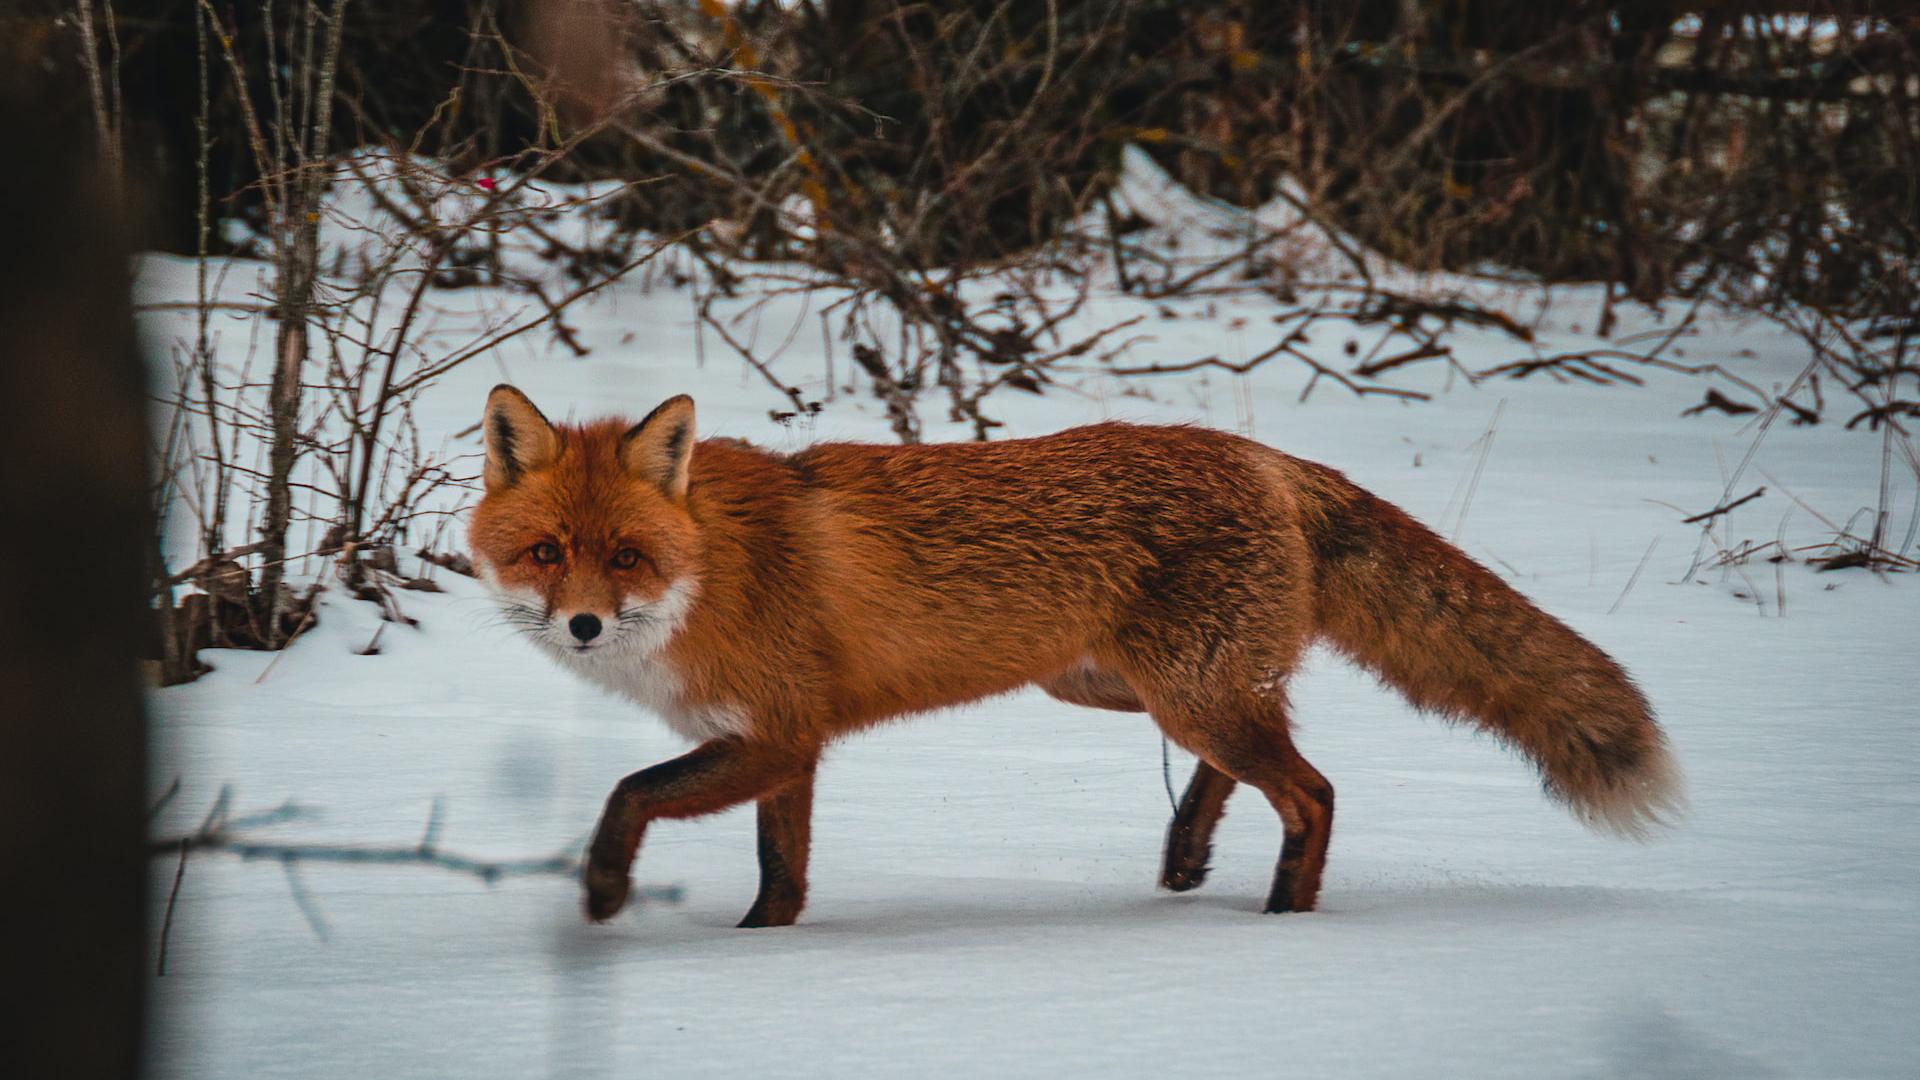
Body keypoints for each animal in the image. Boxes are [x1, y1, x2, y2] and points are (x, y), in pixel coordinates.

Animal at [468, 382, 1681, 922]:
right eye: (546, 553)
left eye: (626, 556)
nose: (582, 625)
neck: (711, 568)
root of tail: (1261, 454)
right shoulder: (786, 748)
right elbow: (783, 872)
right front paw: (763, 945)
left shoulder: (774, 735)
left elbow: (627, 792)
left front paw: (605, 891)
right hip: (1122, 687)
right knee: (1256, 760)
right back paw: (1187, 857)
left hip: (1177, 690)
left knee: (1315, 790)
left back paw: (1284, 922)